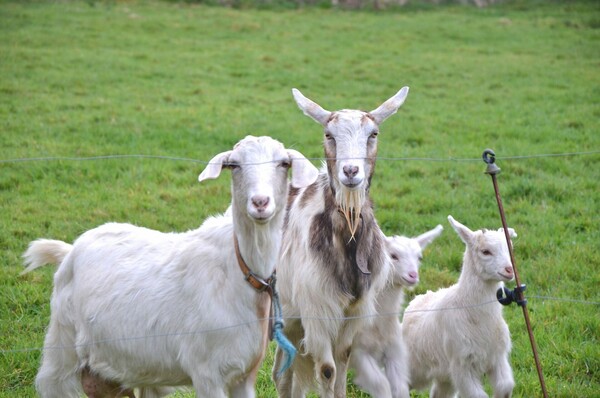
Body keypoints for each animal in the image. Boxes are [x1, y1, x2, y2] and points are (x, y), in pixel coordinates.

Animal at [274, 87, 410, 398]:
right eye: (329, 134)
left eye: (373, 134)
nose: (350, 171)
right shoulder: (318, 311)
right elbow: (327, 370)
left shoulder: (353, 313)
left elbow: (344, 360)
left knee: (283, 371)